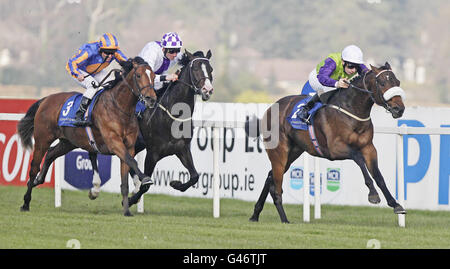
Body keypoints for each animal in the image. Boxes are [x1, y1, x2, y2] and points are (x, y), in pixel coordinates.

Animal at [16, 56, 157, 216]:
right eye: (138, 75)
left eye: (153, 76)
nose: (151, 99)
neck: (120, 108)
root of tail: (45, 99)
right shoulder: (114, 142)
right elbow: (132, 161)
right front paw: (145, 179)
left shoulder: (130, 146)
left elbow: (126, 177)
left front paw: (127, 210)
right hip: (42, 139)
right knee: (34, 168)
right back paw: (26, 202)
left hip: (68, 142)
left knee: (51, 154)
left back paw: (38, 180)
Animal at [127, 49, 214, 205]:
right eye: (196, 68)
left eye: (211, 69)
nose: (208, 90)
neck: (172, 116)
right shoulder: (152, 153)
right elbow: (146, 185)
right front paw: (131, 200)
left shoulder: (182, 149)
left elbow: (195, 176)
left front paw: (176, 184)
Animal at [246, 62, 408, 222]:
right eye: (382, 83)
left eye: (398, 82)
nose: (399, 109)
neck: (351, 110)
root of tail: (271, 107)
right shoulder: (335, 149)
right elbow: (359, 159)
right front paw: (373, 194)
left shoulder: (369, 148)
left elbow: (378, 175)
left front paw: (395, 204)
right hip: (279, 151)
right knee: (276, 187)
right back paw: (284, 219)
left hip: (294, 151)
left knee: (270, 176)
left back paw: (255, 214)